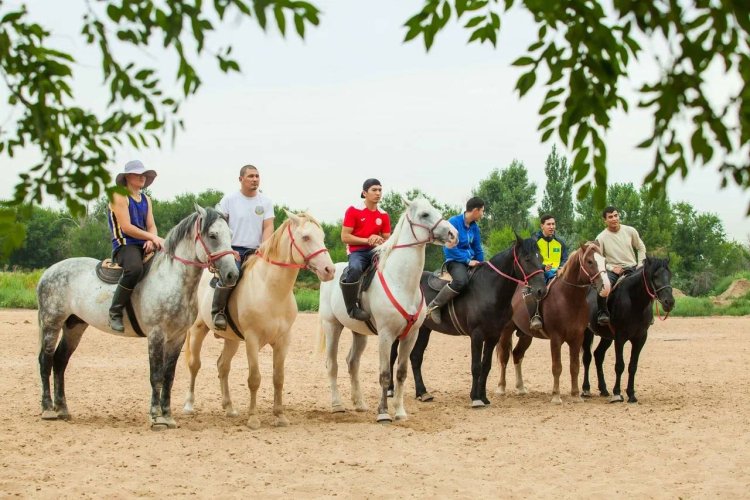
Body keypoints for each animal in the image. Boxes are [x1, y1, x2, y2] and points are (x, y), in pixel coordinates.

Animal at [182, 213, 334, 428]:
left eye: (322, 236)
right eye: (305, 237)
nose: (329, 270)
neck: (270, 290)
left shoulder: (283, 341)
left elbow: (278, 378)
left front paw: (280, 416)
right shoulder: (252, 340)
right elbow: (254, 378)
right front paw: (253, 418)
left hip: (231, 340)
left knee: (223, 366)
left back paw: (229, 408)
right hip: (197, 330)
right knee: (194, 365)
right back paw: (189, 405)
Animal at [318, 198, 458, 422]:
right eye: (424, 214)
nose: (453, 234)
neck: (400, 281)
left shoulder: (410, 336)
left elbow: (400, 373)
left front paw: (400, 412)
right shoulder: (385, 335)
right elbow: (384, 374)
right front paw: (383, 413)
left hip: (359, 333)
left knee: (352, 363)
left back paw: (359, 404)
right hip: (332, 326)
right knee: (332, 365)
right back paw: (337, 405)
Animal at [388, 236, 548, 408]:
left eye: (541, 258)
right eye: (527, 258)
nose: (541, 290)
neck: (488, 290)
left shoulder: (493, 336)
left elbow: (486, 366)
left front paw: (484, 397)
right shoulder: (477, 335)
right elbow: (476, 366)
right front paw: (476, 398)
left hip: (424, 330)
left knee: (416, 357)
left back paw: (422, 393)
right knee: (392, 356)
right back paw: (390, 390)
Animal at [500, 241, 612, 402]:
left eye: (604, 260)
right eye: (590, 261)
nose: (606, 287)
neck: (567, 298)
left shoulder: (577, 338)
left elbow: (574, 367)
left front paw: (575, 395)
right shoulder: (556, 338)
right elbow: (557, 367)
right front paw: (556, 396)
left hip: (526, 335)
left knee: (517, 354)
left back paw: (521, 388)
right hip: (506, 331)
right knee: (504, 357)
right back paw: (501, 388)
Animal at [580, 256, 676, 404]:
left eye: (669, 275)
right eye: (655, 276)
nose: (669, 302)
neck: (634, 302)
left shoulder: (640, 339)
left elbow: (632, 366)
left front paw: (631, 394)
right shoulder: (620, 338)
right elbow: (620, 366)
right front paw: (617, 394)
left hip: (607, 337)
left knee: (598, 355)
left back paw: (603, 389)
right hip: (587, 332)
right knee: (587, 357)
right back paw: (586, 389)